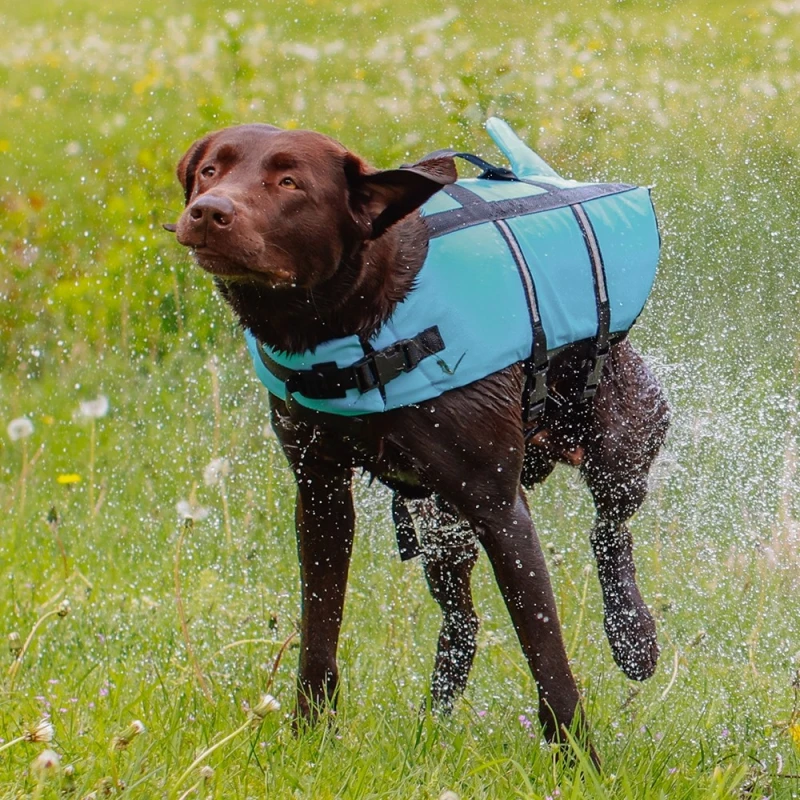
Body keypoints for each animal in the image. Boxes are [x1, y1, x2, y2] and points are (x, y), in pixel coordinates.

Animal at [169, 120, 668, 756]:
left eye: (289, 182)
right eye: (211, 170)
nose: (209, 211)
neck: (349, 326)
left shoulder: (500, 509)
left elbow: (547, 654)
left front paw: (577, 757)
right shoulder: (321, 494)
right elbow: (318, 630)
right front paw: (309, 733)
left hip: (619, 444)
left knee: (610, 531)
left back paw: (634, 637)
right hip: (438, 528)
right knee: (463, 622)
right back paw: (437, 717)